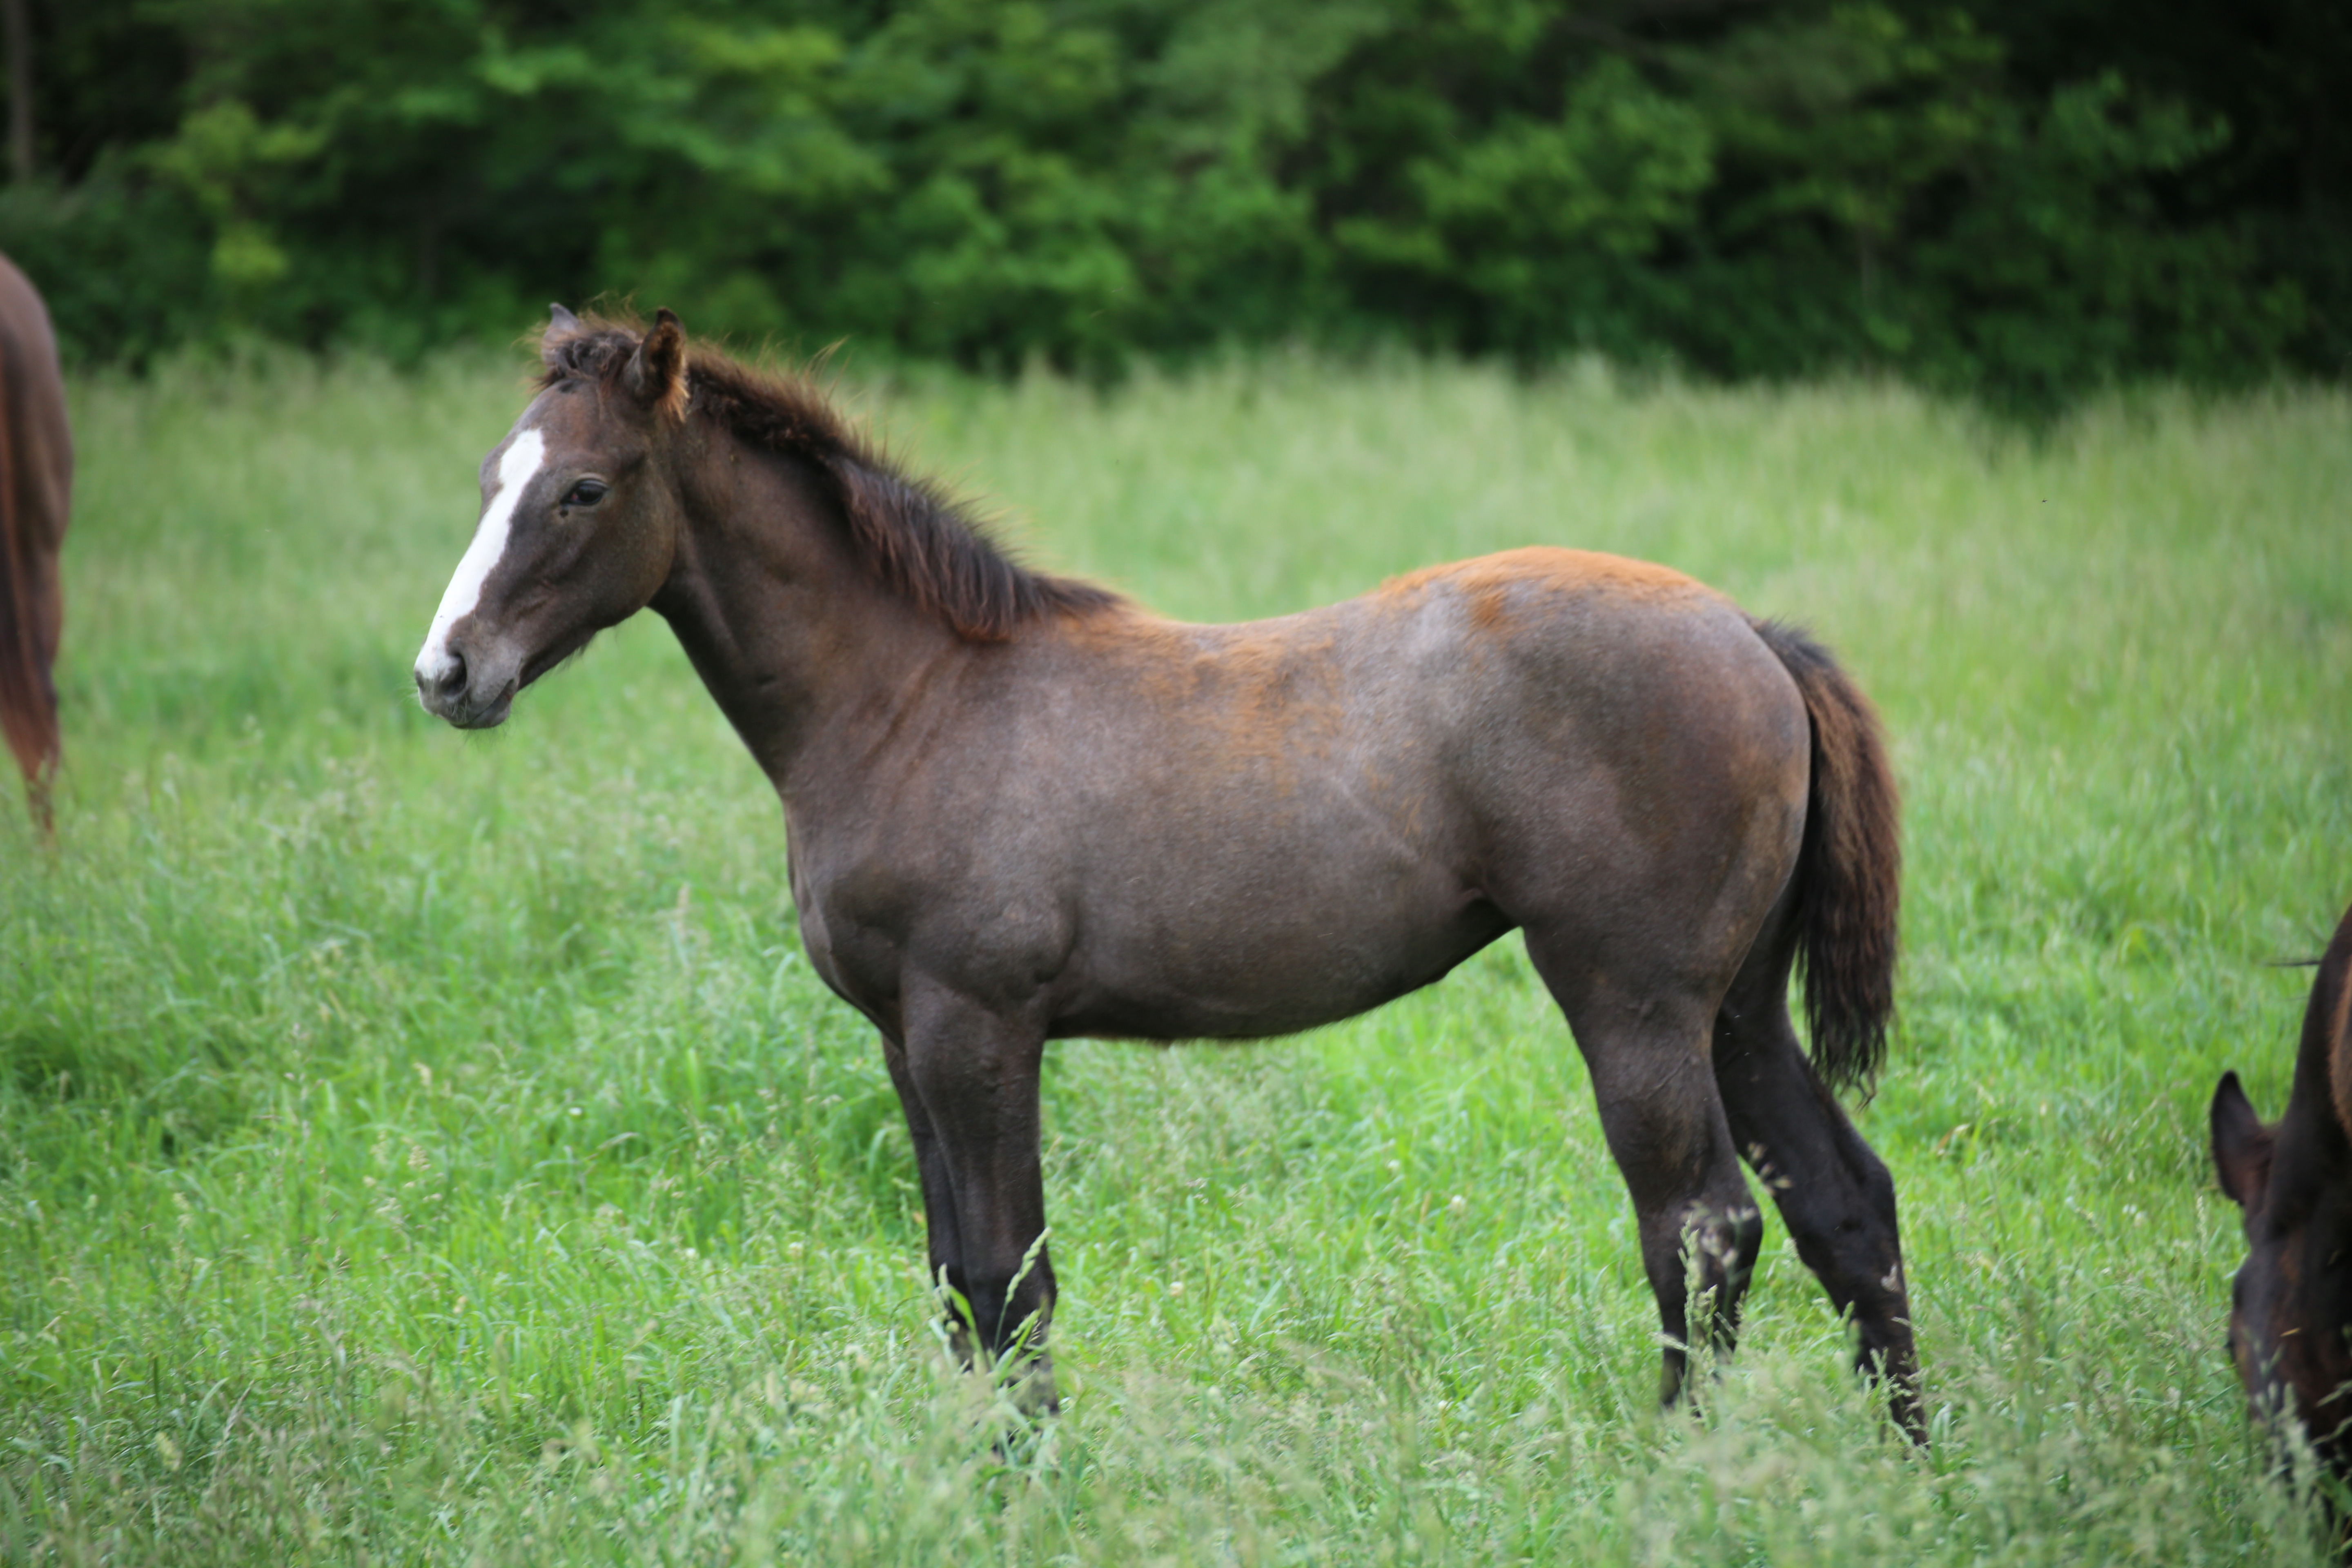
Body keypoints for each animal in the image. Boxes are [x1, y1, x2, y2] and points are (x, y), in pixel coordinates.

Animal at [414, 305, 1919, 1439]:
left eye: (584, 489)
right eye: (487, 478)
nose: (448, 674)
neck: (914, 702)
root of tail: (1752, 635)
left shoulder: (977, 1027)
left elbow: (1006, 1274)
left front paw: (1033, 1483)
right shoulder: (905, 1040)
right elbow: (953, 1281)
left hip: (1632, 1003)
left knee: (1704, 1226)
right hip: (1735, 1009)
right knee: (1844, 1205)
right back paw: (1905, 1461)